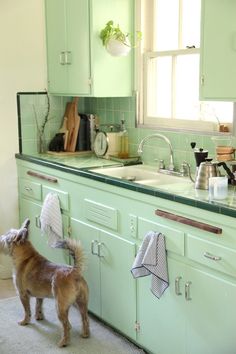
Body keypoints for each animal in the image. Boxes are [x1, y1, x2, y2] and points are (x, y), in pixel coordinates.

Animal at [0, 217, 90, 348]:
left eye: (6, 238)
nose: (0, 238)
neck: (25, 257)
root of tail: (74, 271)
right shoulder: (39, 295)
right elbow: (38, 306)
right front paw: (39, 317)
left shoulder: (22, 295)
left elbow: (27, 311)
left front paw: (25, 321)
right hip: (81, 303)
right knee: (85, 319)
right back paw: (85, 334)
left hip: (60, 306)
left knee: (67, 325)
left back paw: (63, 342)